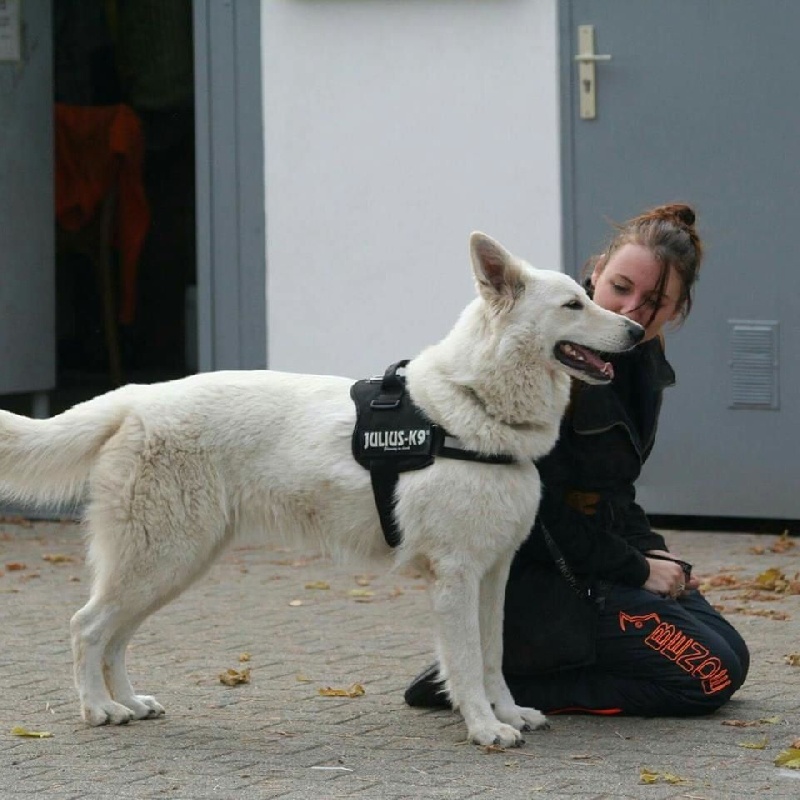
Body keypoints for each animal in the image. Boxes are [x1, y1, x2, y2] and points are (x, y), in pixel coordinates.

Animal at [0, 234, 640, 748]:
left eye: (588, 298)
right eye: (573, 305)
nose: (636, 330)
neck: (472, 406)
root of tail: (135, 397)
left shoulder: (494, 574)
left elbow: (492, 657)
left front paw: (507, 714)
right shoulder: (457, 576)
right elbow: (464, 661)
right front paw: (484, 728)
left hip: (171, 567)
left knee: (114, 636)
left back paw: (128, 702)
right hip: (161, 560)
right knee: (87, 627)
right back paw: (97, 709)